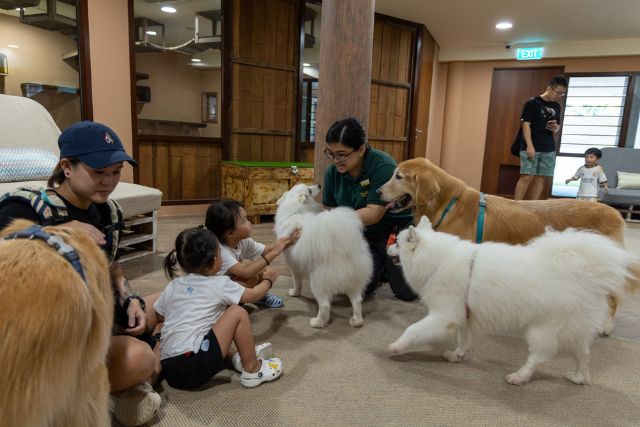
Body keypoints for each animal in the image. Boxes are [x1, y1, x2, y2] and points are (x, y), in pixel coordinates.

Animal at [276, 183, 376, 328]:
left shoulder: (294, 267)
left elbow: (297, 283)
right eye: (309, 190)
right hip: (354, 280)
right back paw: (356, 321)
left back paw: (317, 322)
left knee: (325, 306)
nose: (319, 185)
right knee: (357, 301)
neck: (297, 211)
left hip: (317, 283)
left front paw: (295, 293)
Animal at [380, 159, 632, 336]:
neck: (448, 205)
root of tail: (614, 212)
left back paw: (606, 326)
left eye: (398, 176)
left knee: (614, 298)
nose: (377, 192)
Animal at [384, 216, 636, 386]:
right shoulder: (465, 316)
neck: (436, 260)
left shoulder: (444, 315)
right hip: (575, 329)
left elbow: (413, 329)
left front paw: (397, 346)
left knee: (538, 357)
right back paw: (579, 378)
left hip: (543, 330)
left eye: (397, 243)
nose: (386, 249)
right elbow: (463, 340)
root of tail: (585, 273)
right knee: (584, 353)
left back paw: (519, 376)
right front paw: (457, 356)